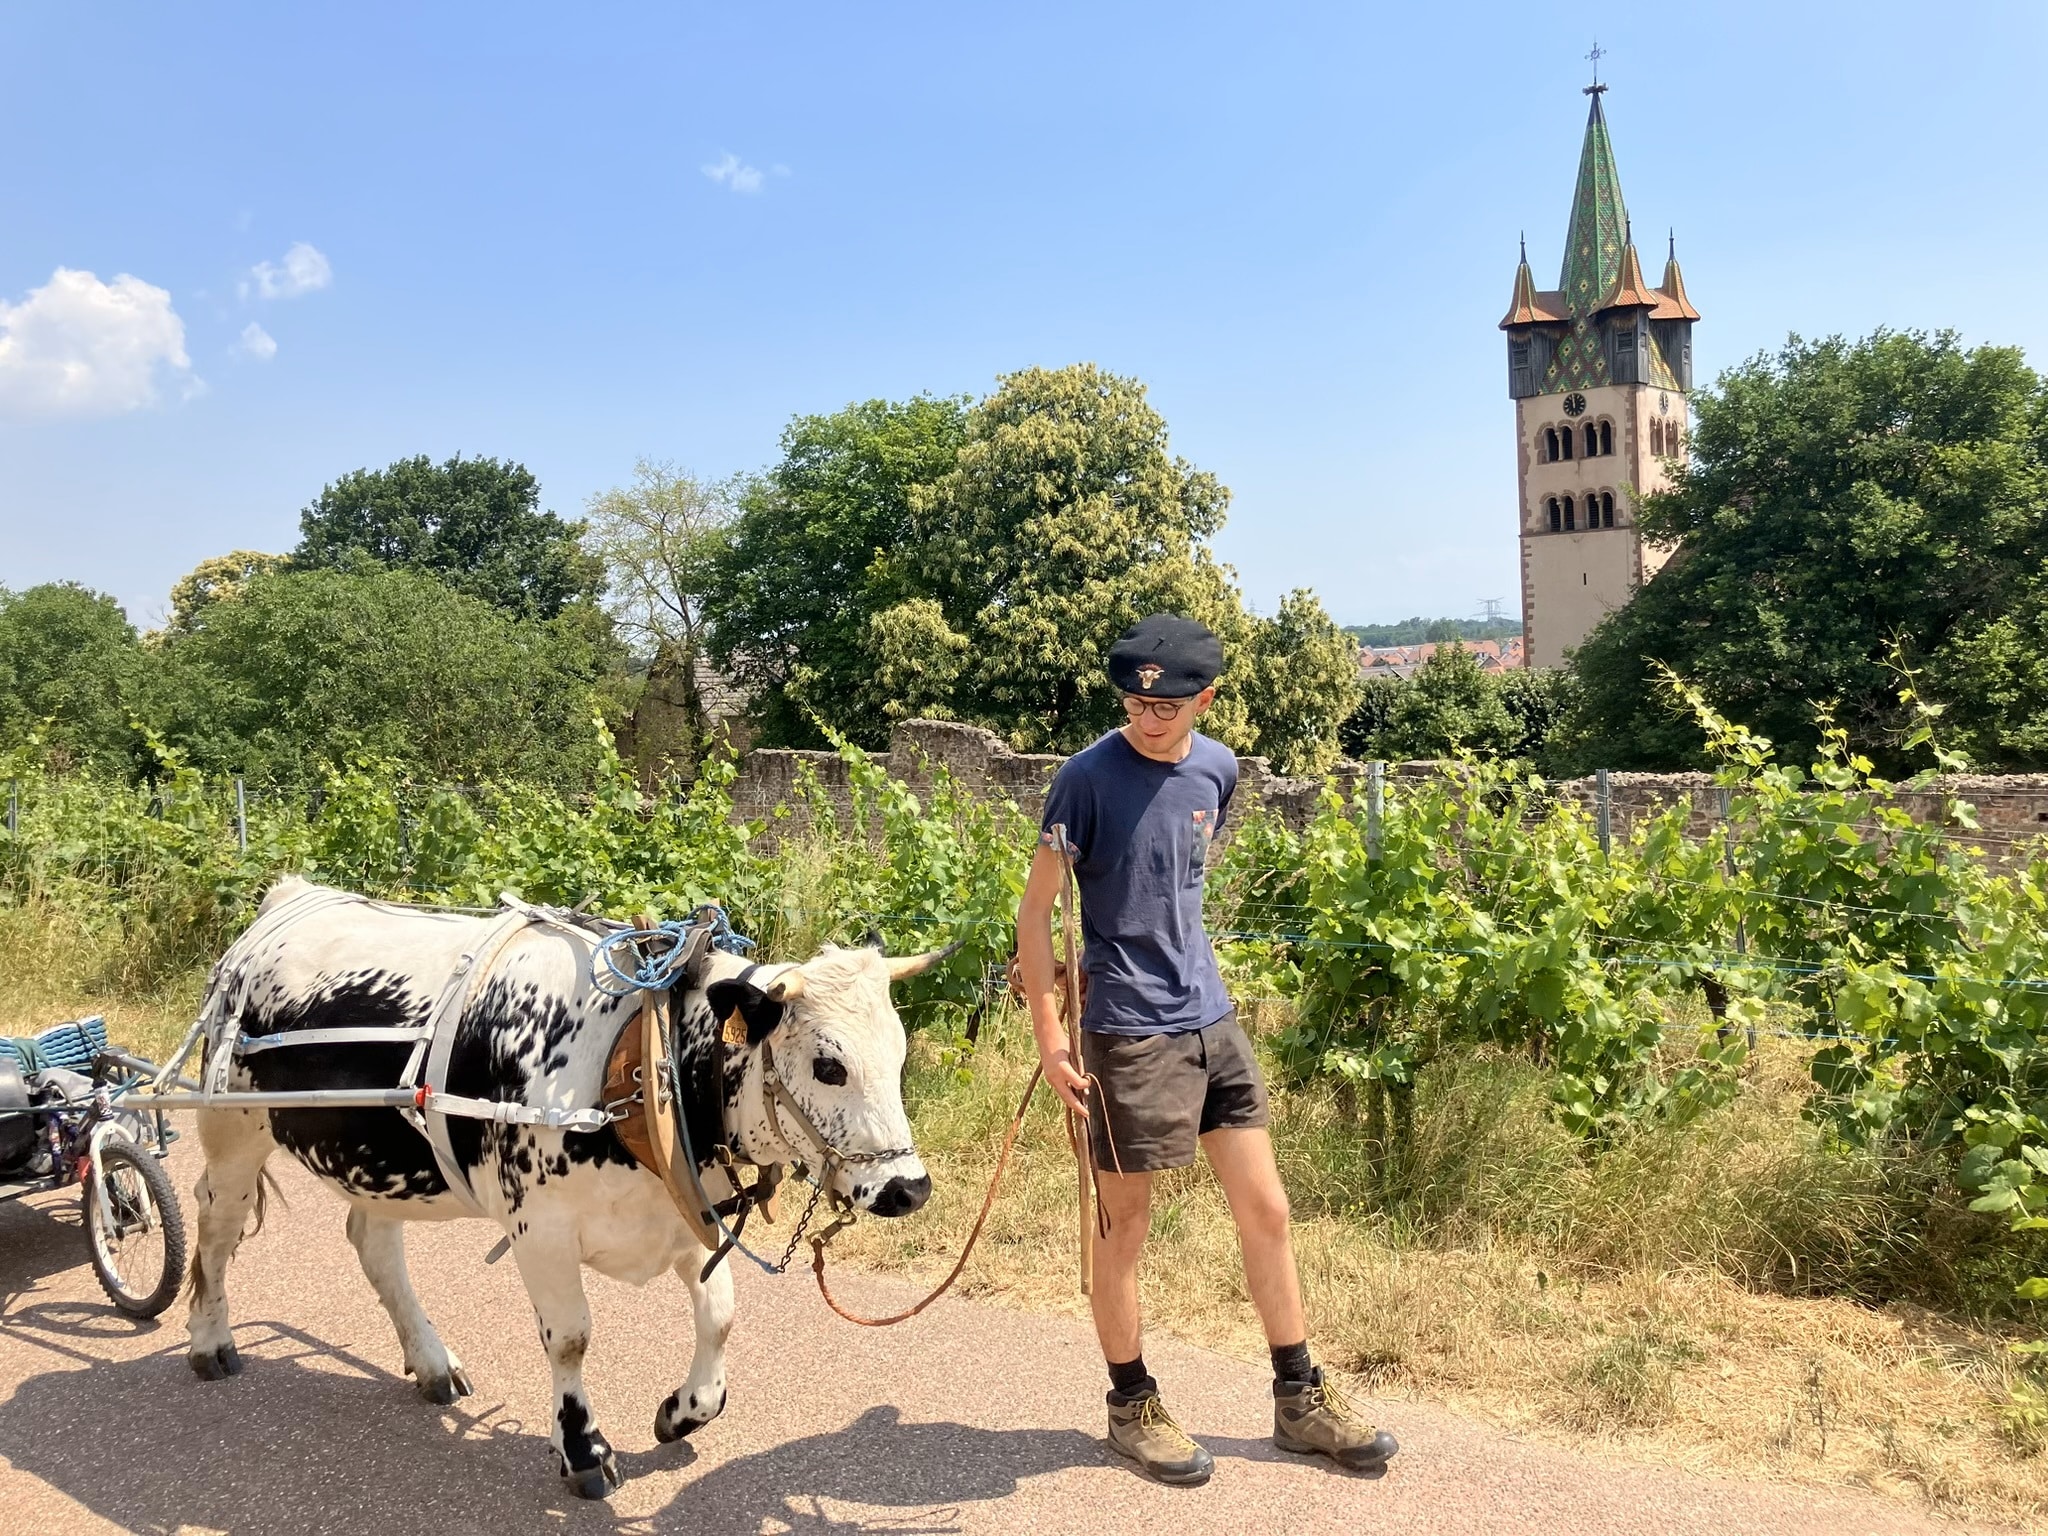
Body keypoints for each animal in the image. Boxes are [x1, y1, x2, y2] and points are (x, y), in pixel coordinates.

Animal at [184, 884, 937, 1499]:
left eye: (899, 1057)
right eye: (829, 1065)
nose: (909, 1188)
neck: (644, 1058)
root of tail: (290, 895)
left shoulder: (684, 1212)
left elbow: (720, 1316)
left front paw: (682, 1411)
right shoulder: (539, 1228)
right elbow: (571, 1338)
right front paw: (583, 1449)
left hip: (373, 1164)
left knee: (373, 1243)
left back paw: (431, 1363)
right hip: (232, 1129)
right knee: (214, 1230)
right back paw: (209, 1341)